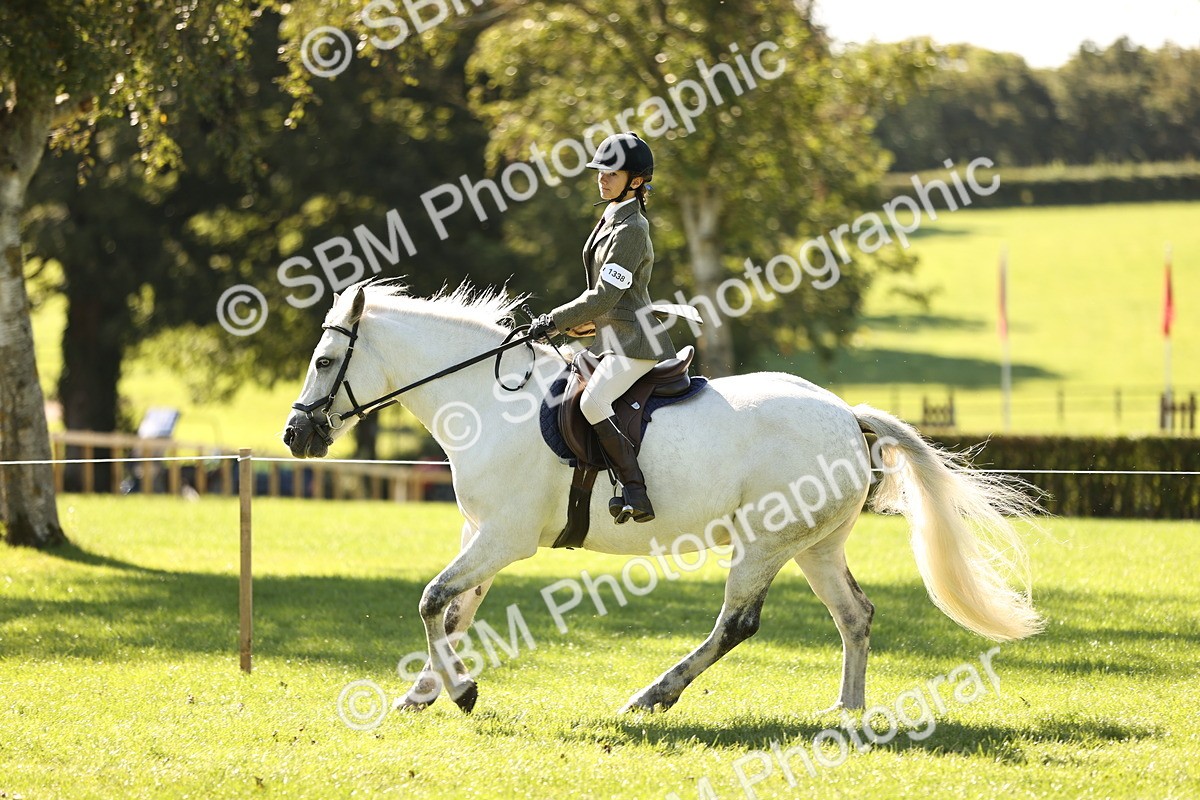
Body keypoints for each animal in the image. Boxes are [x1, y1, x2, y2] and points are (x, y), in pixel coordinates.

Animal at [282, 280, 1043, 715]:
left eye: (324, 361)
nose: (296, 434)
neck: (486, 401)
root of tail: (846, 416)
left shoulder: (505, 537)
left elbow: (433, 600)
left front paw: (461, 692)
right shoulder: (482, 534)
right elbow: (456, 610)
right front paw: (428, 693)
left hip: (763, 544)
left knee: (737, 624)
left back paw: (654, 695)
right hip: (816, 546)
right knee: (854, 615)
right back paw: (847, 713)